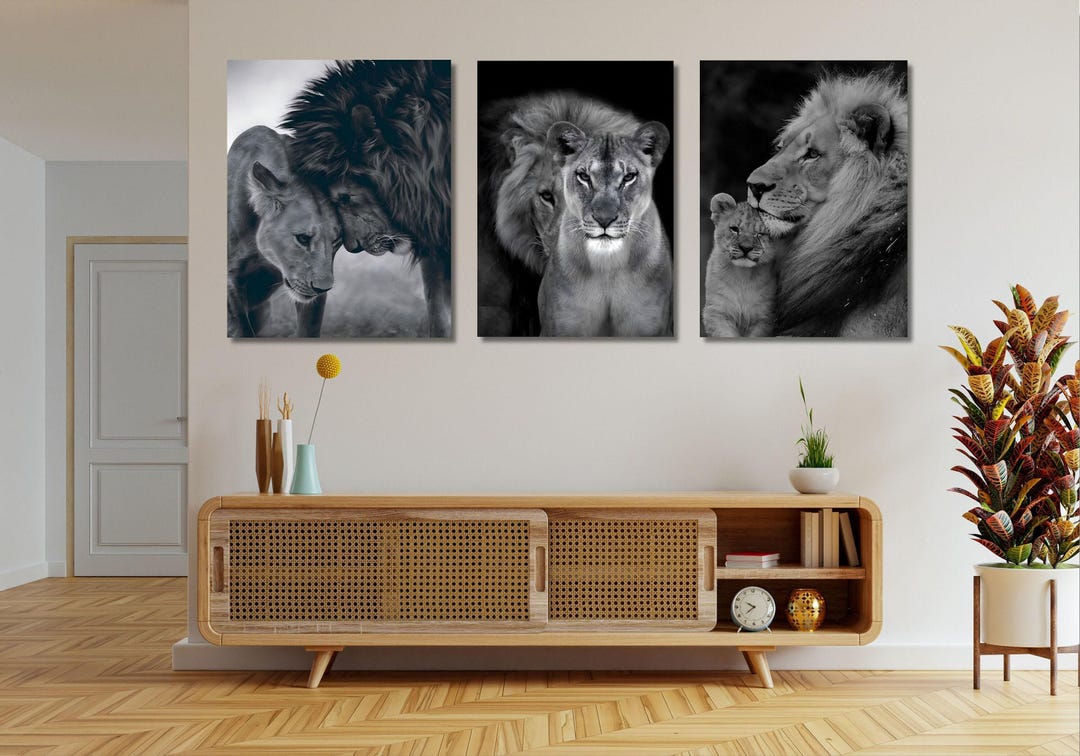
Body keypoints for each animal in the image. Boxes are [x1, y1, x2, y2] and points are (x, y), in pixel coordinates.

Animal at [227, 125, 341, 338]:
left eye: (337, 242)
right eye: (303, 238)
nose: (323, 288)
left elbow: (309, 329)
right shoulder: (231, 277)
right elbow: (241, 329)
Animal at [702, 193, 779, 338]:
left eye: (760, 234)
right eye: (735, 229)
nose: (746, 248)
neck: (743, 275)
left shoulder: (764, 317)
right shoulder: (717, 312)